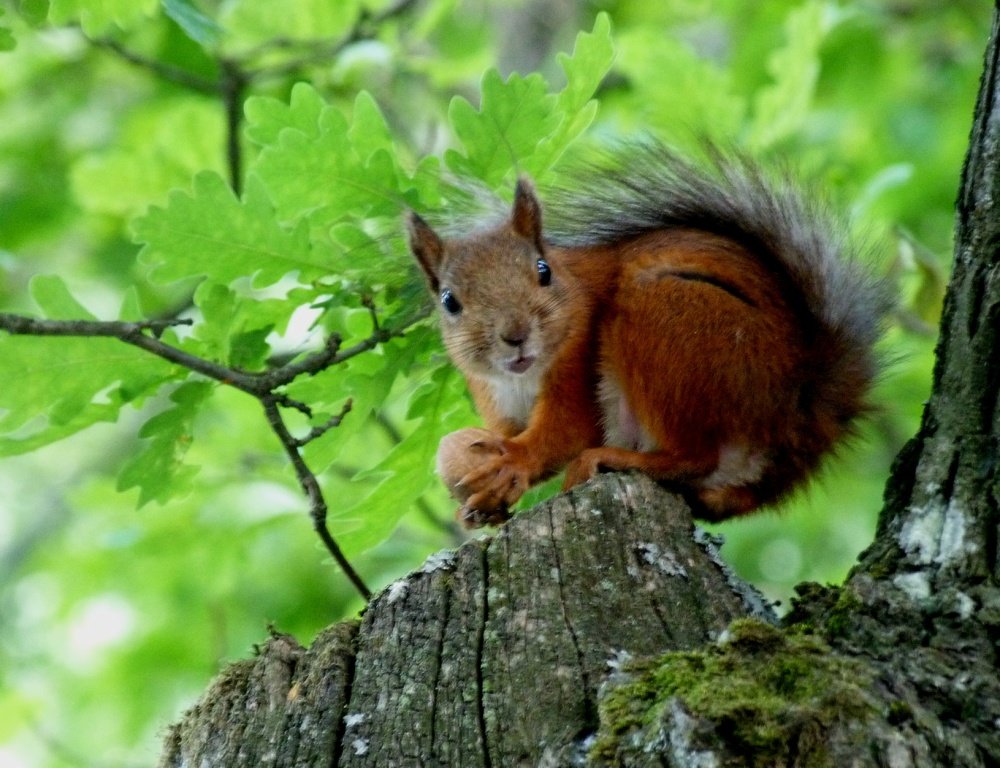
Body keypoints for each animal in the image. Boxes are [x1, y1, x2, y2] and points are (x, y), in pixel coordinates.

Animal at [406, 144, 884, 528]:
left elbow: (564, 434)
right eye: (449, 301)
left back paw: (610, 458)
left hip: (666, 321)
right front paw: (478, 508)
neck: (520, 378)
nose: (515, 335)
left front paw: (511, 462)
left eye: (543, 271)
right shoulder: (497, 403)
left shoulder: (576, 370)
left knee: (693, 456)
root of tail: (797, 417)